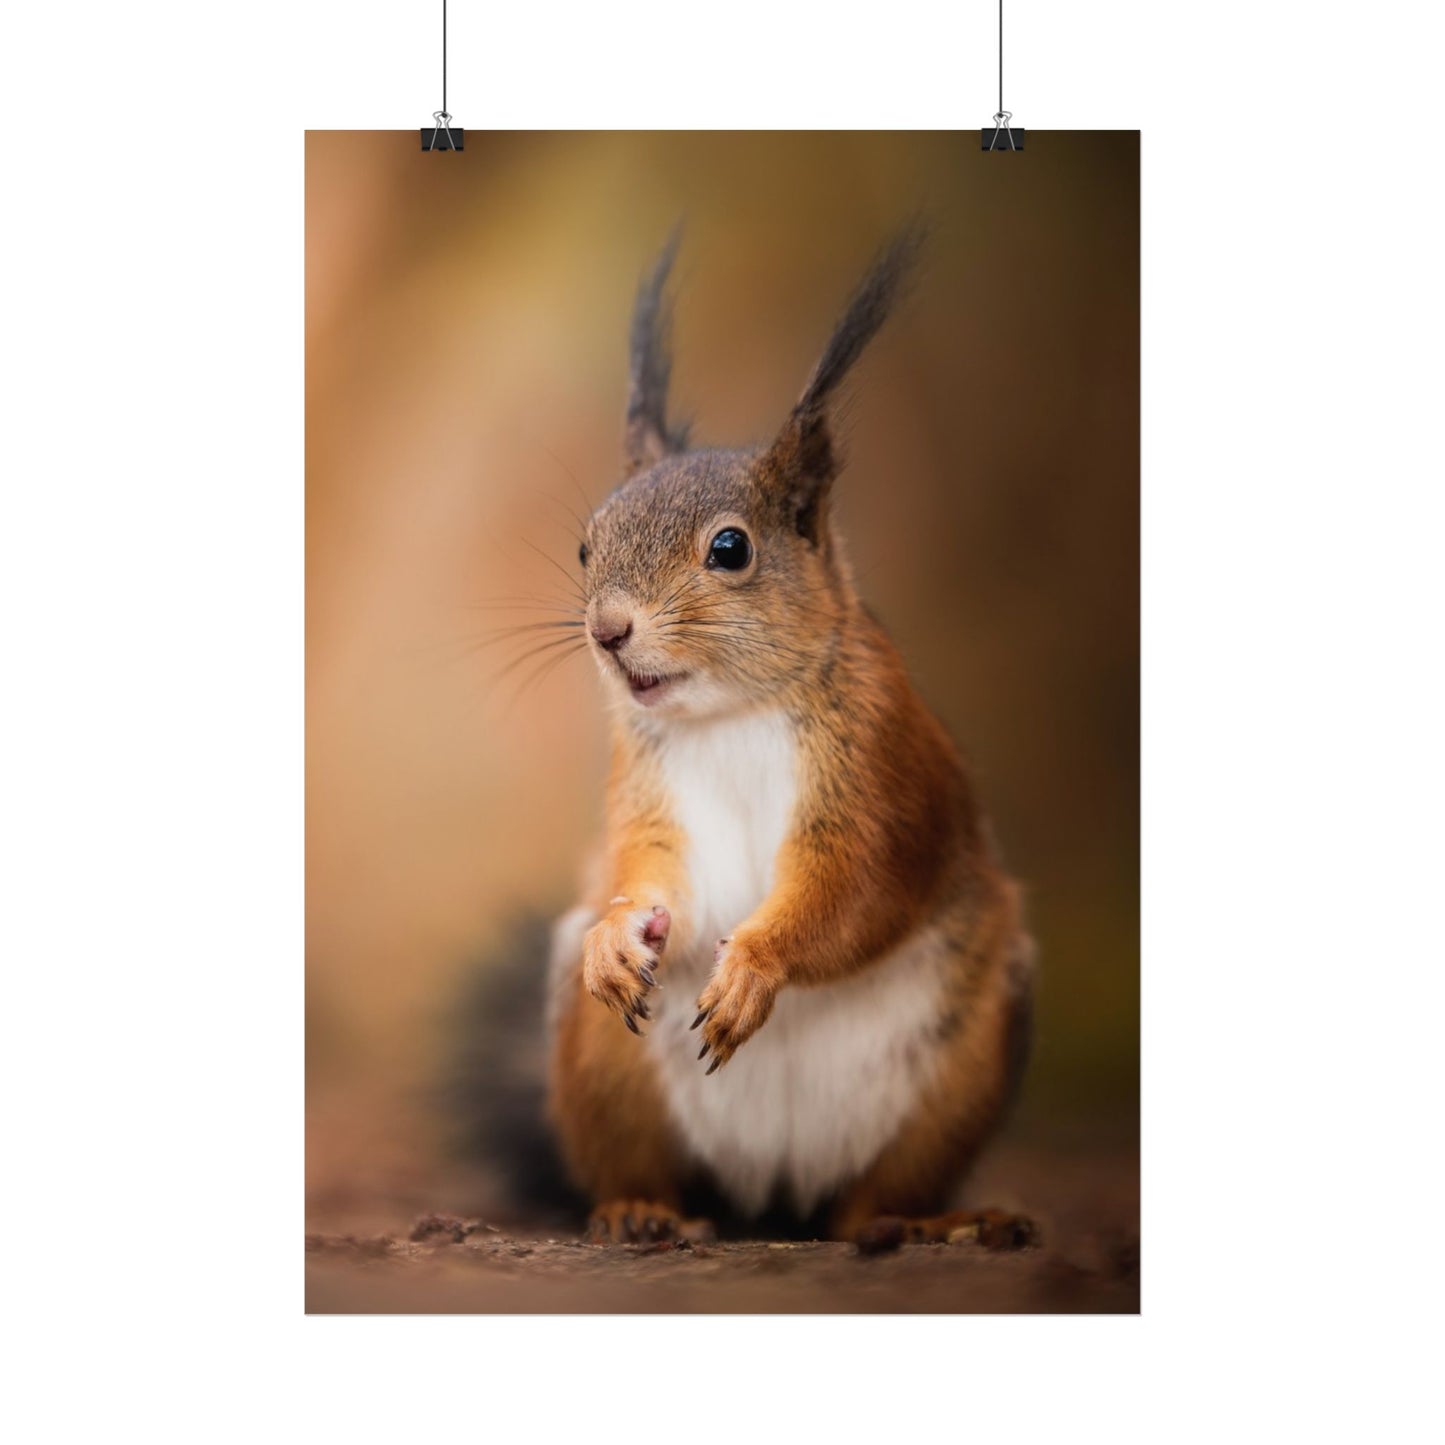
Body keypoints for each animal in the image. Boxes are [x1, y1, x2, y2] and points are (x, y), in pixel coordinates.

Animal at [546, 230, 1037, 1249]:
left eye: (730, 549)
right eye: (586, 543)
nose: (607, 630)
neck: (730, 713)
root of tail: (771, 1192)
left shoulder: (883, 772)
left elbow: (856, 889)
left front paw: (755, 965)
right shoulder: (645, 786)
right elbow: (650, 870)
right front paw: (619, 933)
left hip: (963, 1059)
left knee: (869, 1201)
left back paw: (926, 1221)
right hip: (603, 1065)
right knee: (649, 1167)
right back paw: (640, 1209)